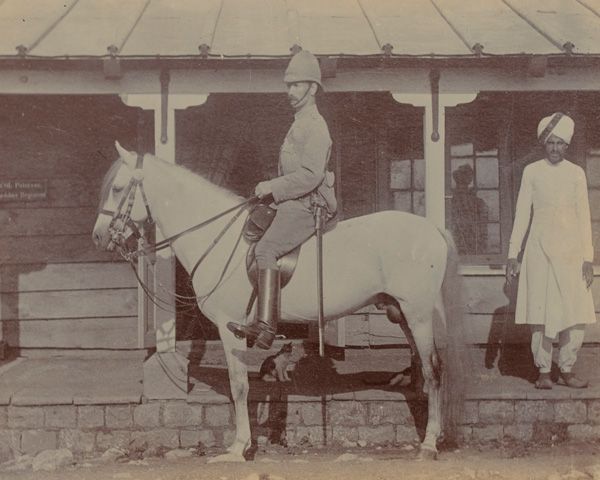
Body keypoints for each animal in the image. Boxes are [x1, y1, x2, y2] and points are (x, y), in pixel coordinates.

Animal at [92, 142, 468, 462]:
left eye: (117, 188)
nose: (99, 236)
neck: (217, 238)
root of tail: (432, 229)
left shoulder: (229, 328)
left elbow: (240, 386)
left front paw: (238, 447)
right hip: (401, 314)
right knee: (425, 370)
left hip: (418, 316)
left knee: (433, 371)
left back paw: (429, 445)